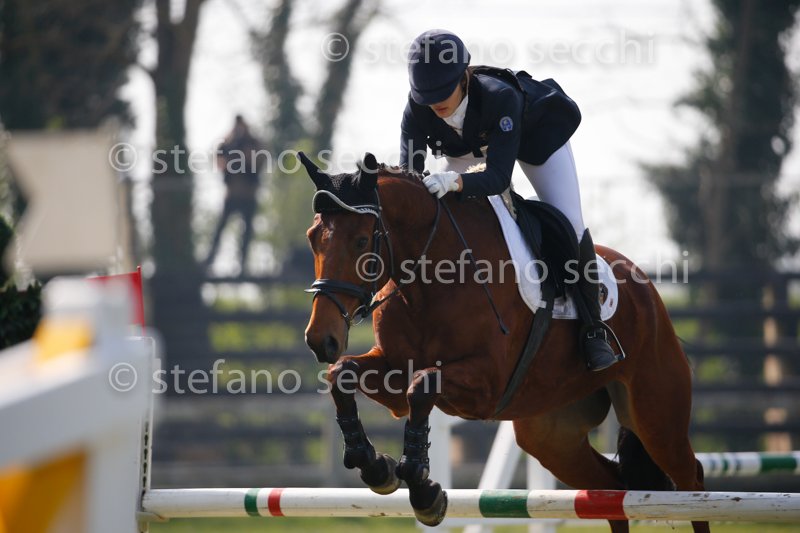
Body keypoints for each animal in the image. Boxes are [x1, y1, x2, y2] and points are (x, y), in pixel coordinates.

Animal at [299, 152, 708, 533]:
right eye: (312, 238)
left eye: (361, 241)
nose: (321, 339)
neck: (432, 277)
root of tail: (649, 292)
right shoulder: (394, 373)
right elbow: (343, 374)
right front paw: (375, 466)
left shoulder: (486, 385)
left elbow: (423, 385)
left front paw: (423, 489)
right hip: (551, 436)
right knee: (610, 488)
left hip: (657, 420)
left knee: (692, 481)